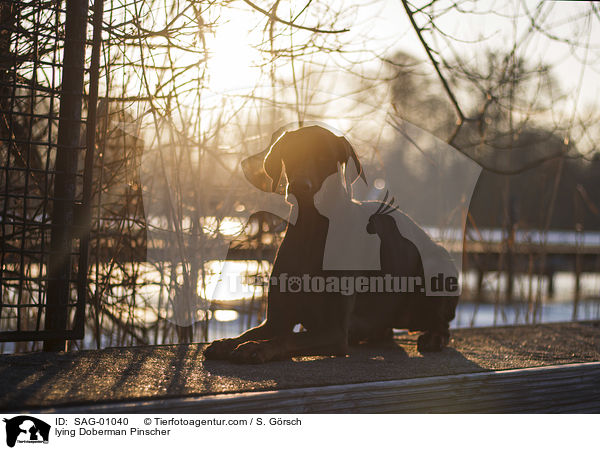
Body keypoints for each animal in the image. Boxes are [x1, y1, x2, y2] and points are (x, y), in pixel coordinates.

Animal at [204, 125, 458, 364]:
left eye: (325, 157)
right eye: (291, 154)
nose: (300, 186)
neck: (311, 229)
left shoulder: (333, 331)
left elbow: (287, 338)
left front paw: (256, 348)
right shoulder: (275, 321)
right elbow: (251, 333)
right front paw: (227, 342)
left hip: (437, 267)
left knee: (442, 325)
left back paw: (433, 337)